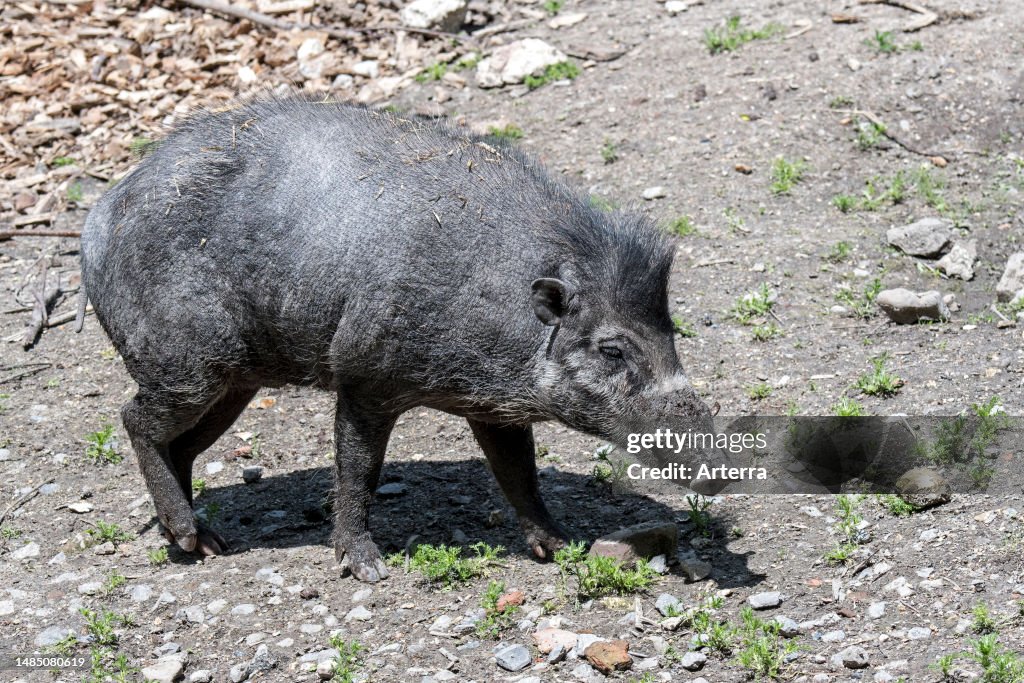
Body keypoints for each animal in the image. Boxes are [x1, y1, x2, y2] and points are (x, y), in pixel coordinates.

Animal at [79, 97, 725, 582]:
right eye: (612, 349)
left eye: (671, 335)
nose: (720, 469)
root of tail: (97, 217)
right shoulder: (363, 376)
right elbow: (358, 469)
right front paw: (367, 569)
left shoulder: (493, 408)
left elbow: (519, 472)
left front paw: (561, 547)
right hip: (186, 364)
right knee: (134, 419)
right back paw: (190, 536)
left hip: (233, 382)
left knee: (182, 445)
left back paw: (206, 543)